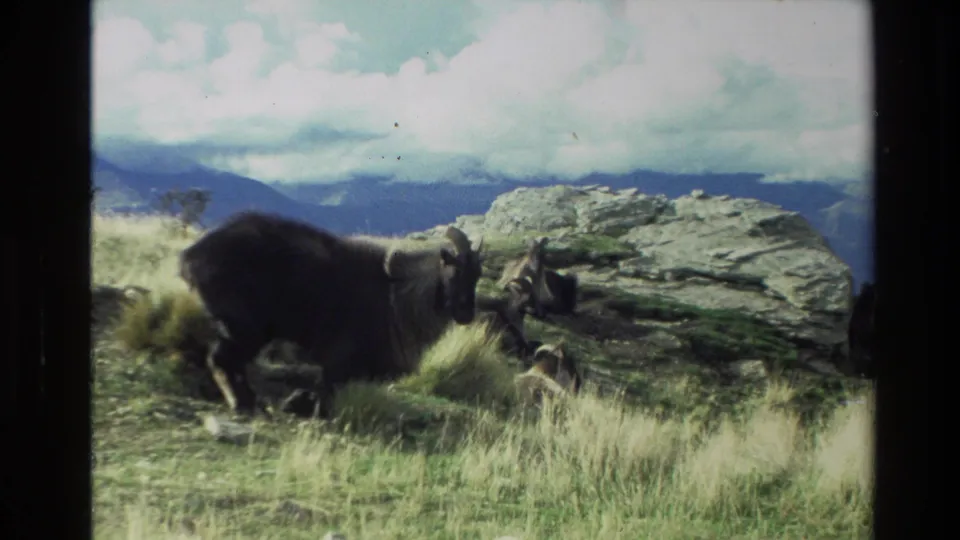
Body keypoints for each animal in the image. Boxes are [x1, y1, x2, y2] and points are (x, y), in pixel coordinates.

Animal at [178, 210, 484, 417]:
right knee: (222, 359)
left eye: (477, 274)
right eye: (454, 270)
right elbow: (326, 392)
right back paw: (244, 404)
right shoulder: (338, 360)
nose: (466, 313)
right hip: (243, 326)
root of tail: (190, 258)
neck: (396, 296)